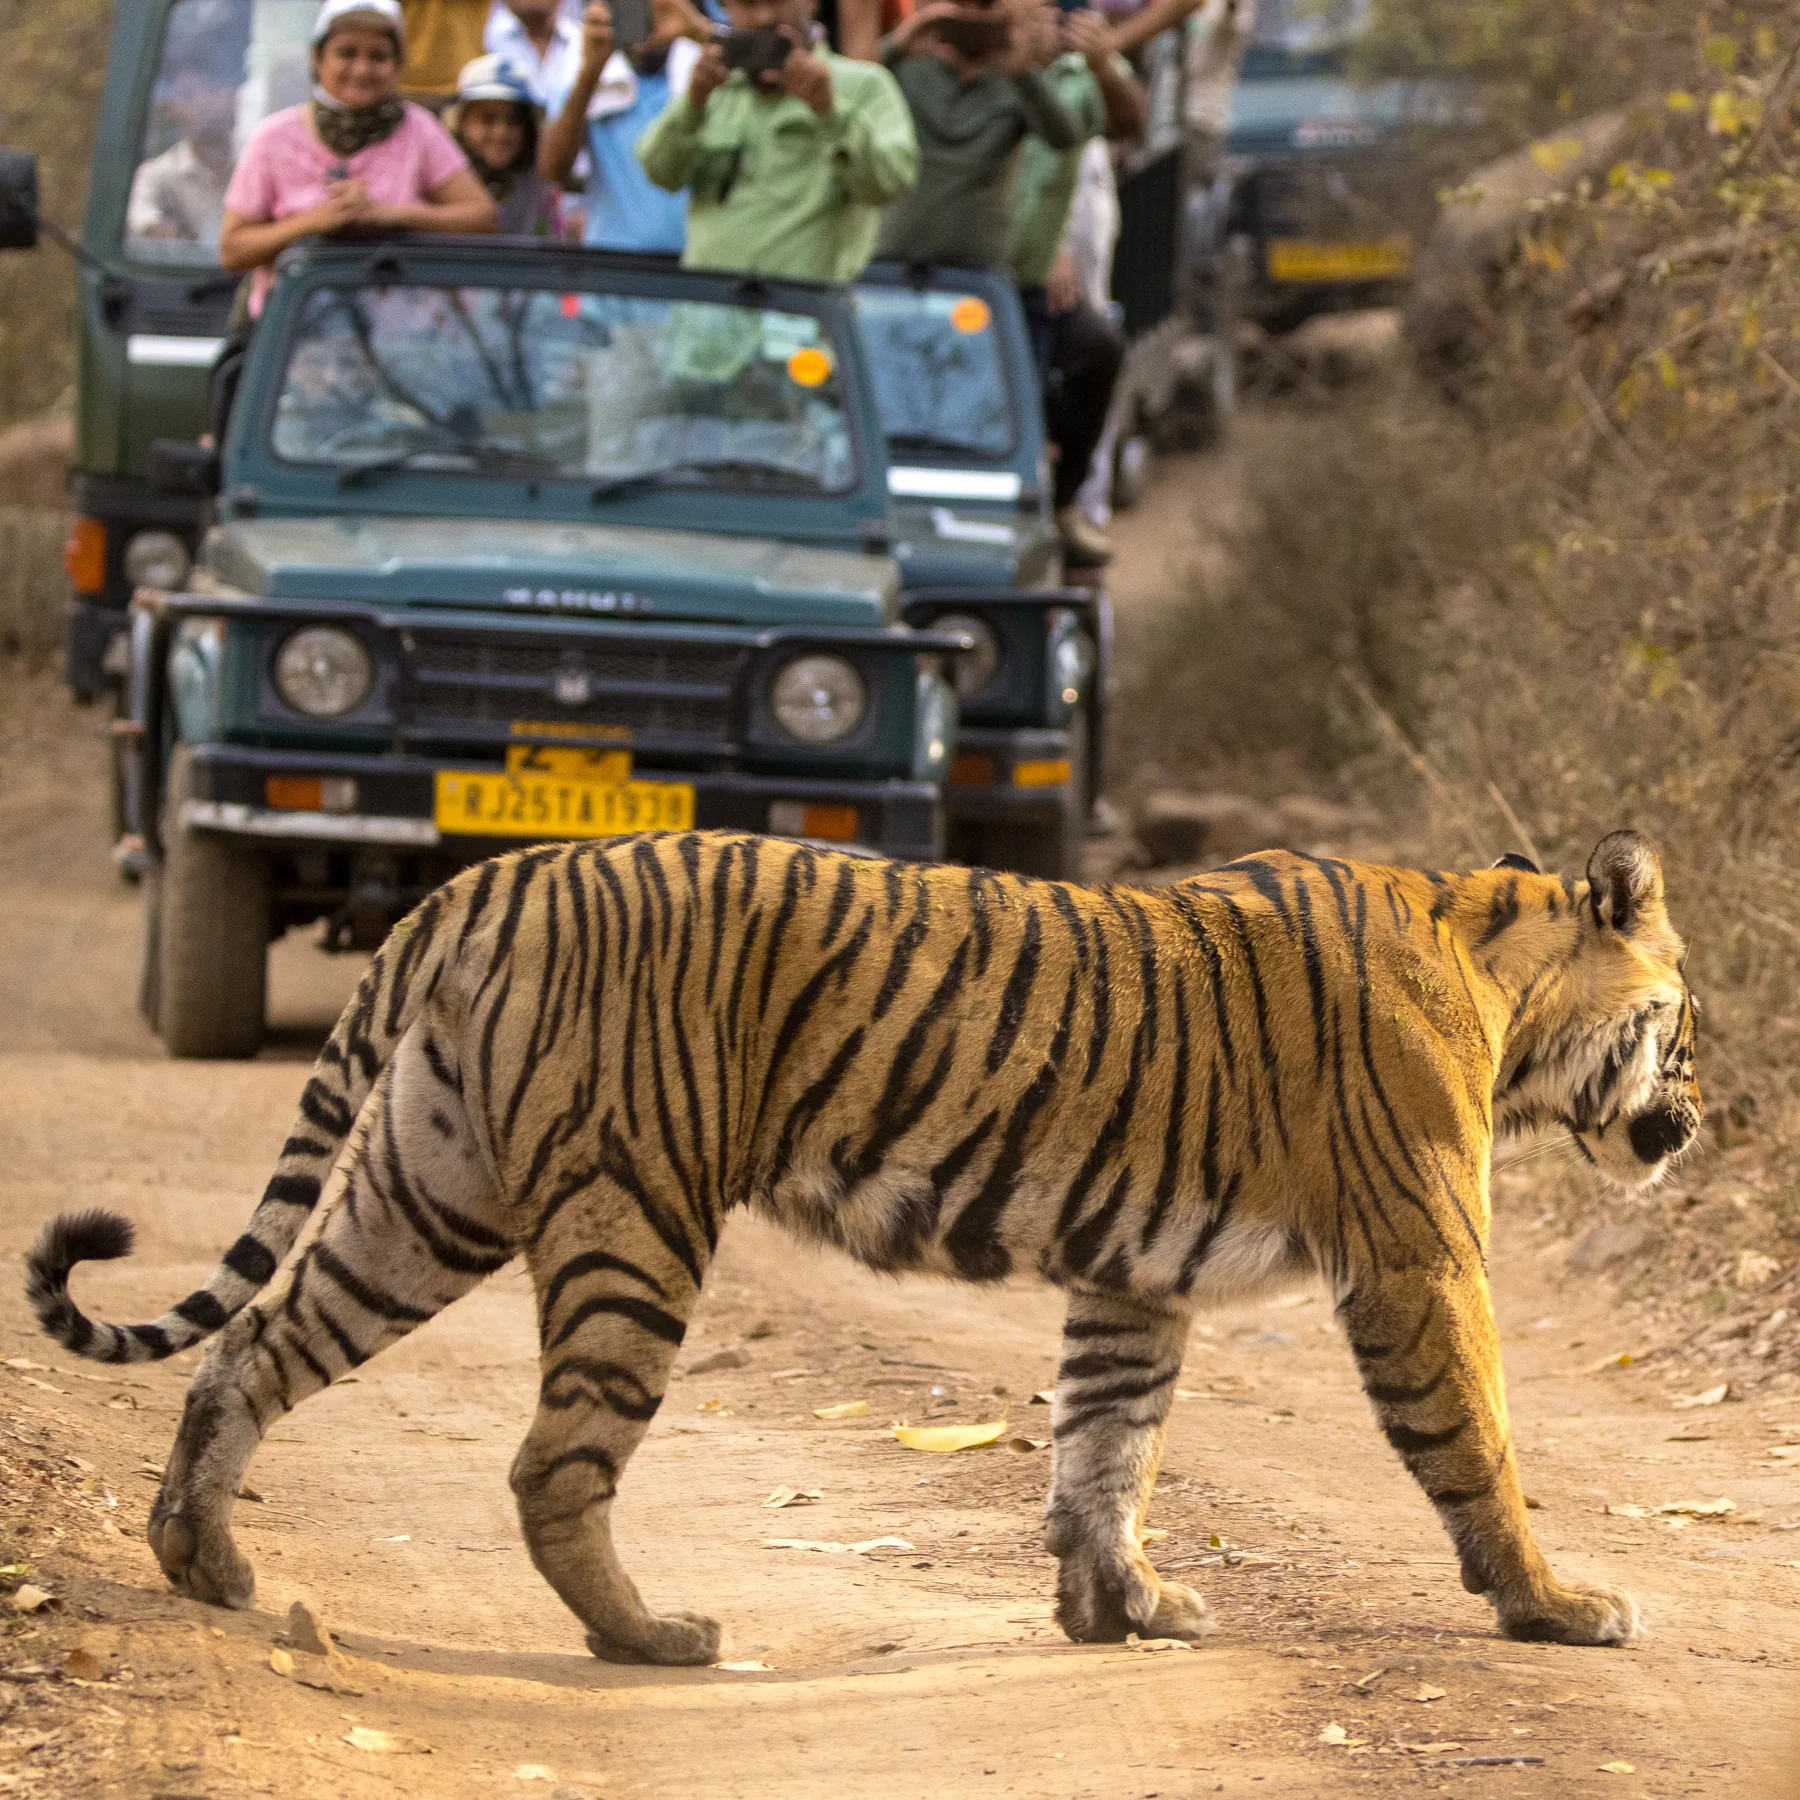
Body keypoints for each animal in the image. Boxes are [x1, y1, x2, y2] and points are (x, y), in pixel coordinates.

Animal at [27, 828, 1699, 1663]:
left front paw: (1120, 1608)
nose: (1701, 1119)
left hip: (425, 1193)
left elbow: (1109, 1447)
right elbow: (1476, 1442)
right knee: (552, 1462)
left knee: (252, 1346)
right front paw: (1556, 1608)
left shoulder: (1134, 1277)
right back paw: (655, 1639)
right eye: (1683, 1021)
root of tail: (496, 872)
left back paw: (203, 1564)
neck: (1505, 972)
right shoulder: (1420, 1257)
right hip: (634, 1215)